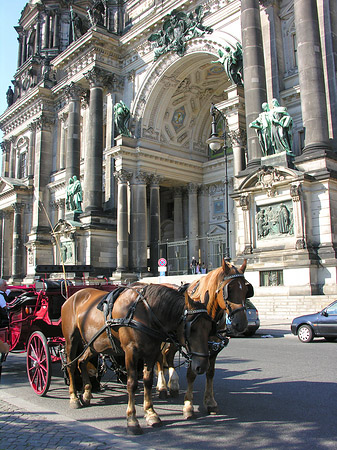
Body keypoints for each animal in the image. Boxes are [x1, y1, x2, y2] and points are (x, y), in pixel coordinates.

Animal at [60, 284, 213, 434]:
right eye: (191, 329)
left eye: (210, 328)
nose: (203, 365)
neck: (146, 313)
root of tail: (73, 296)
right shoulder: (130, 352)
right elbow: (132, 384)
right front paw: (132, 420)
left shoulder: (151, 352)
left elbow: (148, 381)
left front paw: (151, 413)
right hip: (71, 340)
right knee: (71, 366)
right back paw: (74, 397)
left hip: (94, 345)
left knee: (82, 361)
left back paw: (86, 393)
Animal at [156, 258, 251, 420]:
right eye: (229, 290)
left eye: (246, 290)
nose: (242, 323)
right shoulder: (193, 348)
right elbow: (191, 374)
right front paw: (188, 406)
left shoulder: (213, 347)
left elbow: (210, 372)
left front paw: (210, 402)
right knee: (158, 358)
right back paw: (162, 387)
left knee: (167, 356)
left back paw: (173, 384)